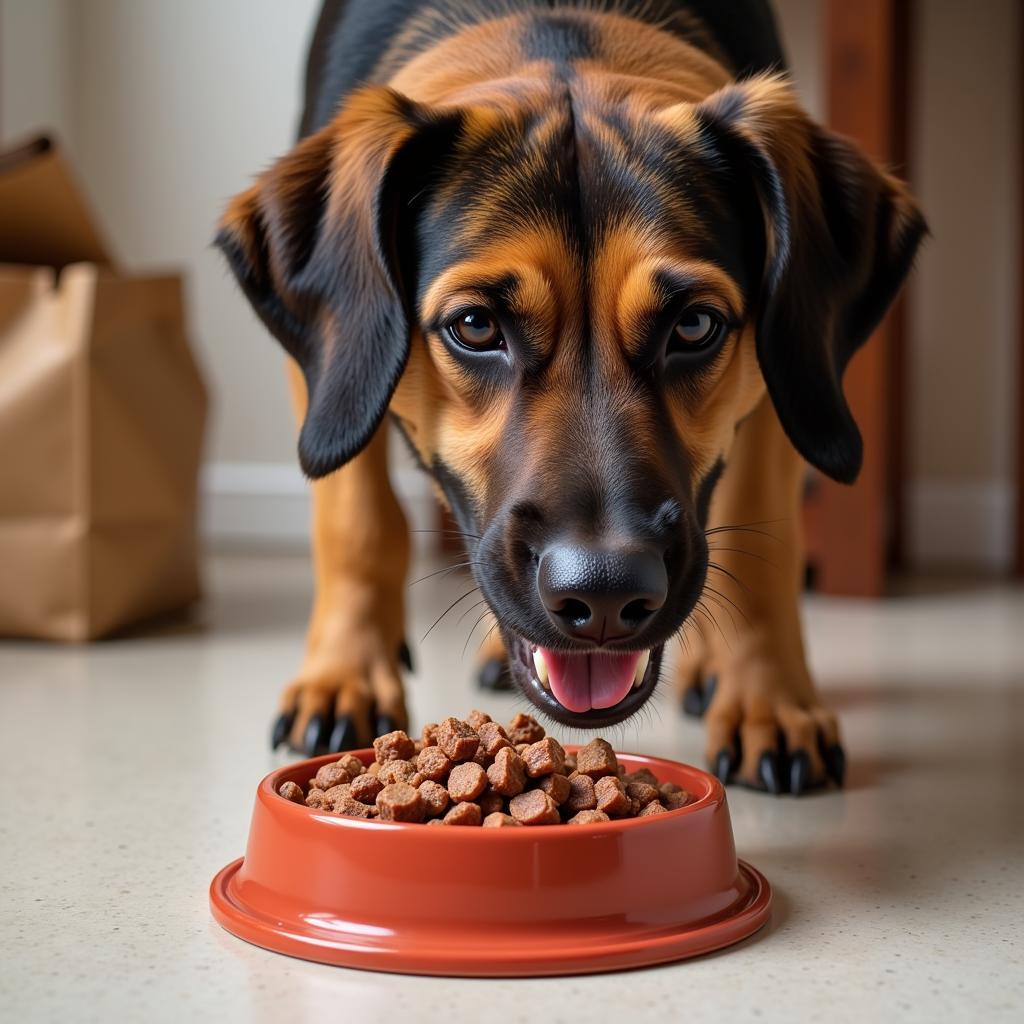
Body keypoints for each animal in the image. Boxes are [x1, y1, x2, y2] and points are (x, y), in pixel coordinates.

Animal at [218, 0, 929, 790]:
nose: (607, 593)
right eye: (475, 325)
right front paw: (343, 678)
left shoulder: (787, 382)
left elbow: (764, 550)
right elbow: (357, 520)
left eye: (695, 325)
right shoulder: (331, 376)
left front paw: (769, 702)